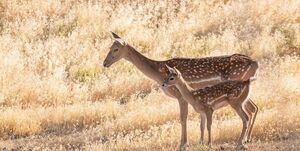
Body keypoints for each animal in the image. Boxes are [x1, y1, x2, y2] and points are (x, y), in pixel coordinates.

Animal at [103, 32, 258, 150]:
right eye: (109, 47)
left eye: (116, 49)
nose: (105, 63)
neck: (158, 72)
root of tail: (256, 63)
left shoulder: (181, 96)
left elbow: (183, 118)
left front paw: (183, 144)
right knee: (254, 108)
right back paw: (247, 139)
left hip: (237, 90)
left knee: (250, 110)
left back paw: (243, 141)